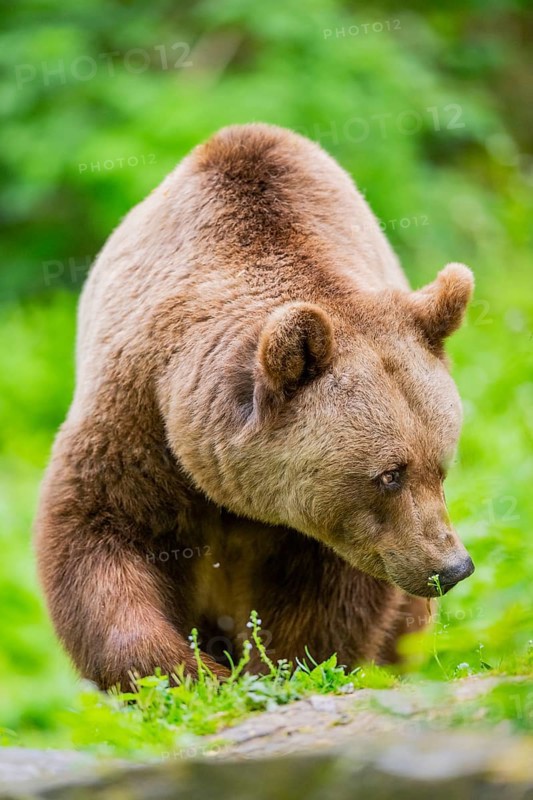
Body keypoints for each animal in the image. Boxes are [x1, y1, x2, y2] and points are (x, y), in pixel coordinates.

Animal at [35, 123, 475, 690]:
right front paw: (193, 672)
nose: (453, 567)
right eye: (389, 474)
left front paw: (281, 668)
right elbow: (98, 534)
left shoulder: (325, 533)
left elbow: (330, 601)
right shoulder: (138, 415)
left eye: (441, 465)